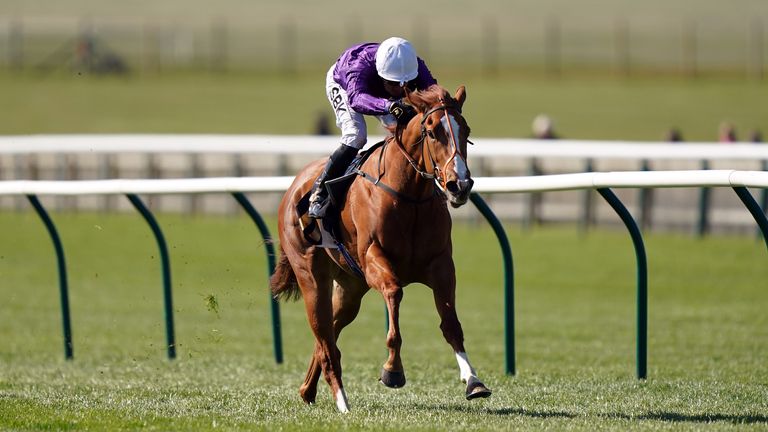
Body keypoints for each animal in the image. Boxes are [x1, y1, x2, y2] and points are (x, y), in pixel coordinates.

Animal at [270, 83, 492, 412]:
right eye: (432, 131)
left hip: (350, 287)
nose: (459, 185)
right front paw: (393, 371)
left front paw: (474, 381)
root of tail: (295, 185)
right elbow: (394, 295)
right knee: (325, 337)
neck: (410, 196)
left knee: (328, 333)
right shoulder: (375, 260)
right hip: (311, 276)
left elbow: (451, 323)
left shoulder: (441, 265)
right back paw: (342, 402)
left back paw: (307, 390)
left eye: (465, 130)